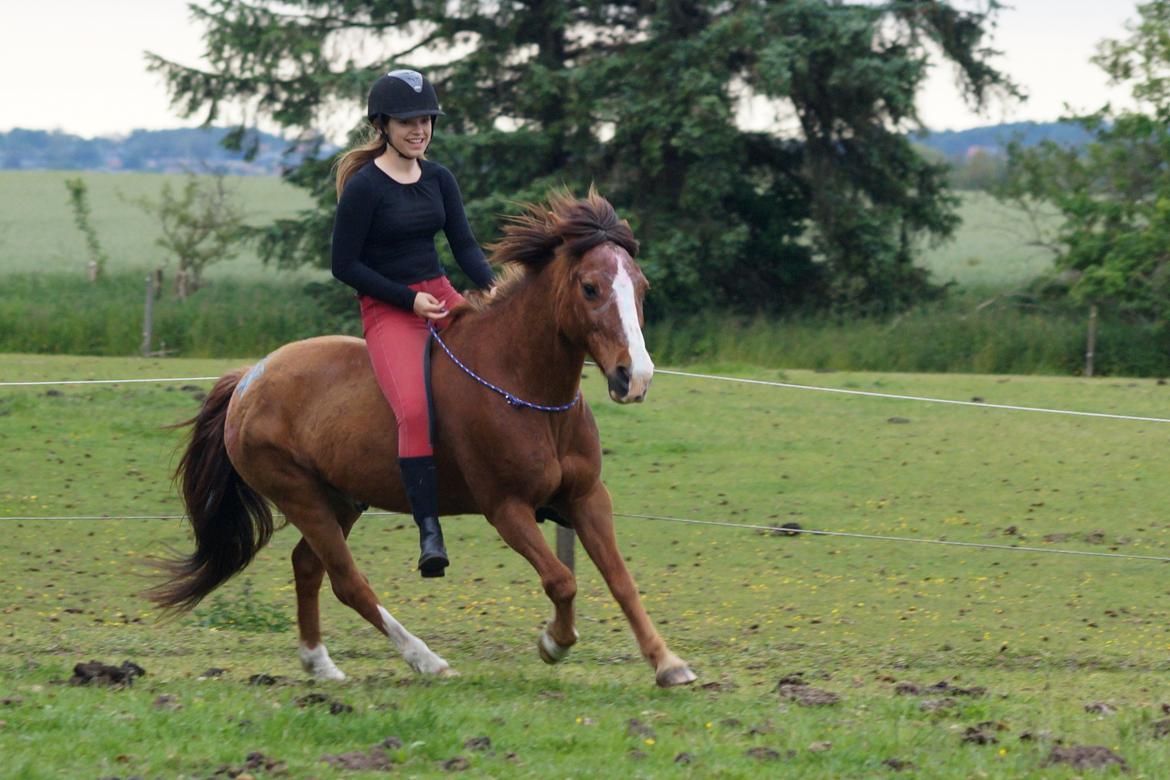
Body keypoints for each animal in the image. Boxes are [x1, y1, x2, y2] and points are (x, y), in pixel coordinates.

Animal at [145, 189, 692, 687]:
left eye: (641, 287)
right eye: (591, 288)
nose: (634, 377)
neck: (526, 389)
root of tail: (249, 379)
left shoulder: (587, 498)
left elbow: (620, 580)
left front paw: (668, 664)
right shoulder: (507, 508)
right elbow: (562, 580)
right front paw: (554, 643)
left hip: (340, 499)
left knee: (308, 566)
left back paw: (320, 664)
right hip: (299, 495)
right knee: (347, 580)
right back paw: (426, 660)